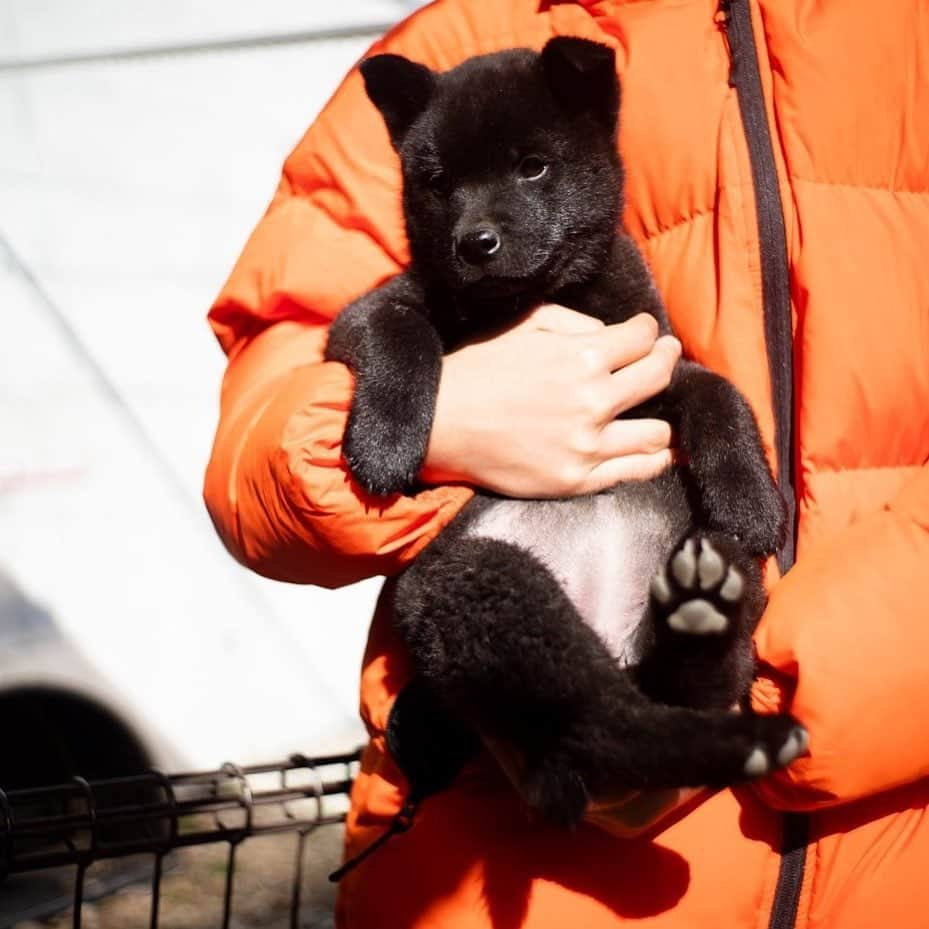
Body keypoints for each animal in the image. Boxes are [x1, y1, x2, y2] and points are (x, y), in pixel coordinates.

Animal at [328, 38, 804, 828]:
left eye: (533, 167)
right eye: (437, 183)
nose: (475, 243)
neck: (536, 299)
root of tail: (607, 633)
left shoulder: (650, 357)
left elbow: (717, 390)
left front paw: (751, 498)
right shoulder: (363, 315)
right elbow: (400, 331)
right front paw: (386, 440)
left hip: (723, 573)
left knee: (678, 682)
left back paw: (701, 621)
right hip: (473, 583)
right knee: (597, 716)